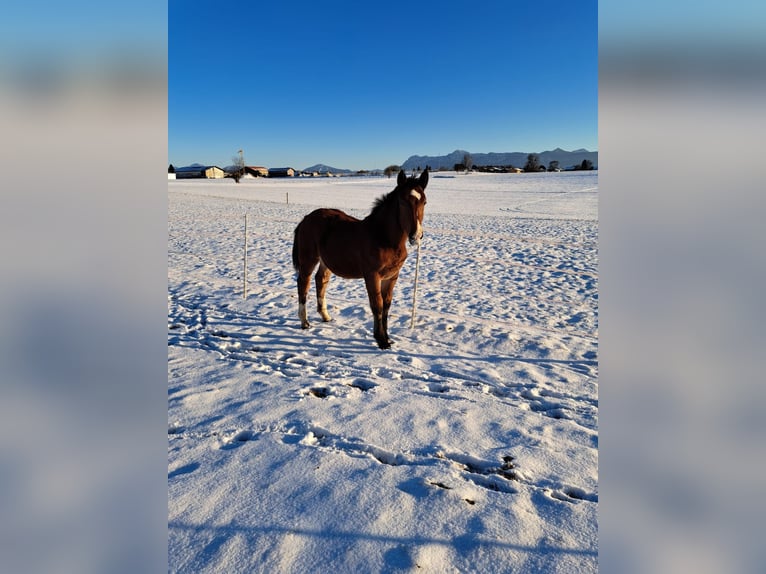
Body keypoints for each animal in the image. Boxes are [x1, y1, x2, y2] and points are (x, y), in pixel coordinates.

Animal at [292, 169, 429, 349]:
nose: (416, 236)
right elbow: (377, 305)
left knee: (320, 280)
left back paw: (326, 316)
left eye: (424, 202)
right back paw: (304, 322)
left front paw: (387, 338)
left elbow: (386, 305)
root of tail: (306, 218)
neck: (383, 237)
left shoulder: (392, 276)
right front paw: (381, 340)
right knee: (303, 283)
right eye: (403, 202)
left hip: (325, 262)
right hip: (308, 259)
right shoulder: (372, 276)